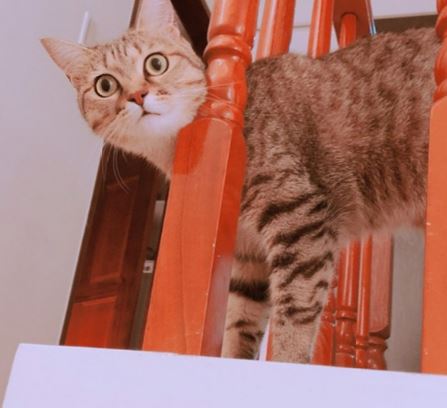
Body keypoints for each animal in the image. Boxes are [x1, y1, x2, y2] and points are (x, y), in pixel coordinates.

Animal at [42, 2, 440, 363]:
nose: (138, 96)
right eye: (105, 85)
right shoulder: (249, 259)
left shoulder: (298, 218)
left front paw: (285, 363)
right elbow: (239, 323)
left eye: (155, 63)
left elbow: (294, 312)